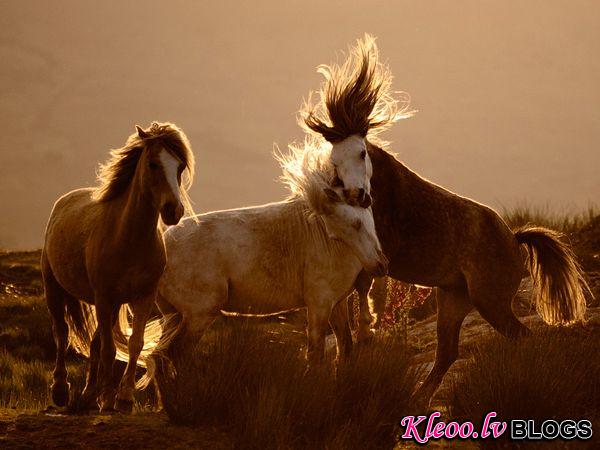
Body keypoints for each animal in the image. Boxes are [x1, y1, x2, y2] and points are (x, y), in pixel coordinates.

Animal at [41, 122, 195, 412]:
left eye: (180, 167)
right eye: (153, 164)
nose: (173, 210)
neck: (128, 239)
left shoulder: (143, 298)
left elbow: (133, 344)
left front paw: (122, 397)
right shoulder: (103, 297)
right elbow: (109, 349)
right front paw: (109, 398)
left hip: (110, 306)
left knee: (93, 342)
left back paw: (89, 394)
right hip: (55, 289)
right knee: (62, 333)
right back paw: (61, 392)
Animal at [302, 35, 588, 404]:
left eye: (362, 152)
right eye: (333, 160)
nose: (357, 195)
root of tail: (514, 239)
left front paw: (367, 328)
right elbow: (342, 328)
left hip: (490, 301)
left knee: (519, 336)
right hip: (453, 299)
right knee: (448, 352)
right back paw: (420, 398)